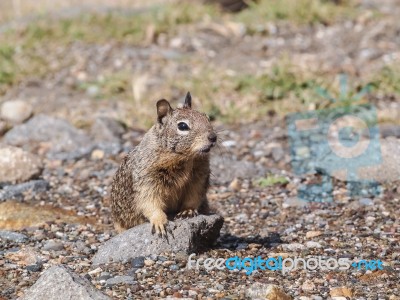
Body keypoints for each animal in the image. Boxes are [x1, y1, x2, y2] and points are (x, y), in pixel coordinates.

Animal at [111, 92, 217, 236]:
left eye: (207, 117)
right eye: (182, 126)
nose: (213, 137)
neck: (186, 158)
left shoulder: (199, 178)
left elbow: (194, 196)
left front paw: (187, 211)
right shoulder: (147, 179)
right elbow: (149, 202)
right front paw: (159, 221)